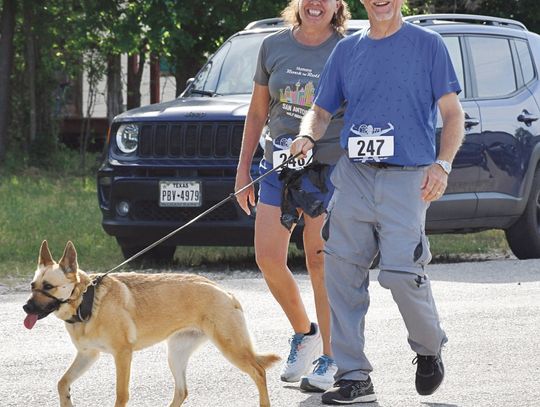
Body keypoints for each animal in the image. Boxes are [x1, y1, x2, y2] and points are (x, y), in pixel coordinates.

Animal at [23, 242, 280, 407]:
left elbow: (121, 395)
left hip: (231, 348)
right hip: (175, 355)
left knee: (259, 372)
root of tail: (224, 291)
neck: (87, 300)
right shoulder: (88, 355)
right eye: (32, 286)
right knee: (182, 391)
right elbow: (62, 383)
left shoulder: (122, 355)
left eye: (48, 287)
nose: (25, 308)